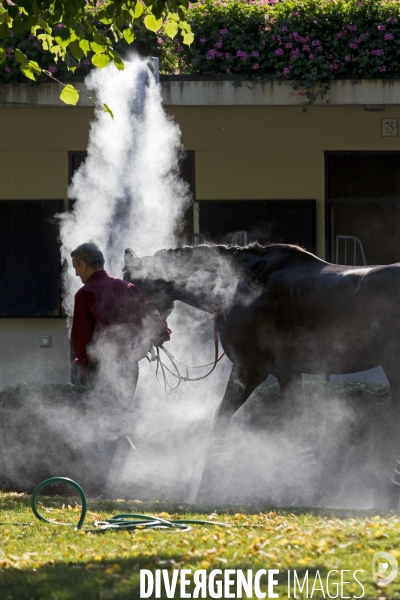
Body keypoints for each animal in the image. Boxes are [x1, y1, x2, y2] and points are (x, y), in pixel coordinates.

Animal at [123, 244, 400, 506]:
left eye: (131, 286)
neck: (243, 283)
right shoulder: (288, 373)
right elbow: (299, 424)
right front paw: (308, 487)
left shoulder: (249, 369)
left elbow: (220, 418)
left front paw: (203, 485)